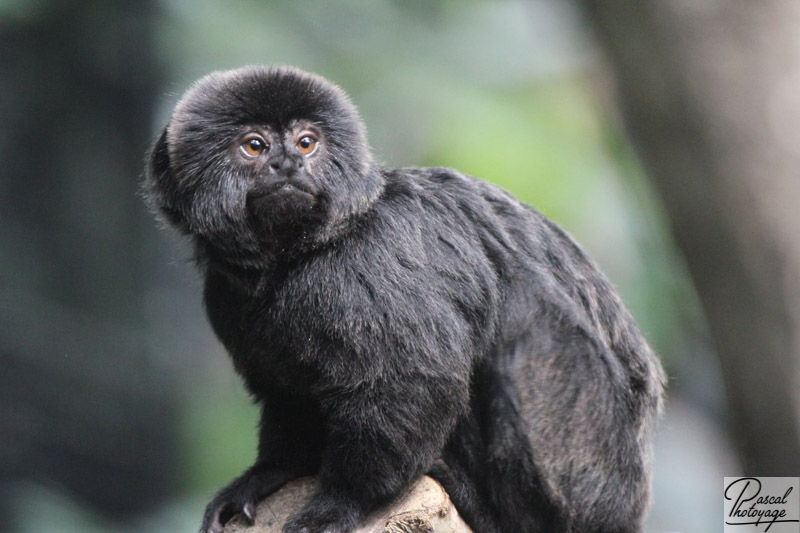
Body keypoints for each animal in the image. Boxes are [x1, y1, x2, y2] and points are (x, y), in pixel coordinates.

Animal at [144, 66, 664, 532]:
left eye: (307, 142)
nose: (288, 165)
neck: (301, 258)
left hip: (588, 475)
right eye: (255, 146)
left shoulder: (370, 261)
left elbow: (412, 379)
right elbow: (288, 389)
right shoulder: (225, 297)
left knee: (525, 309)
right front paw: (271, 472)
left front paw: (342, 502)